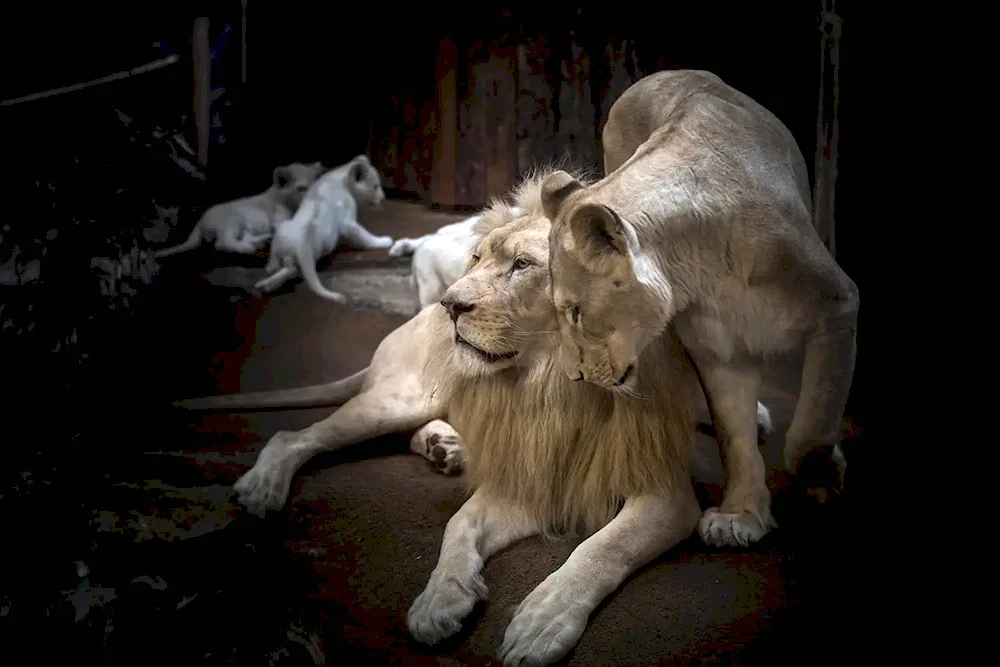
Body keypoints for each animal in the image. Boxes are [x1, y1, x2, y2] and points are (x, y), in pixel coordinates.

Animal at [176, 170, 716, 664]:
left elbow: (602, 548)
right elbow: (460, 523)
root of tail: (411, 320)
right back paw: (266, 486)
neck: (552, 385)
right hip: (401, 399)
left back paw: (445, 448)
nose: (450, 304)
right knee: (293, 436)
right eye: (476, 258)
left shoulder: (665, 494)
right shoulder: (527, 475)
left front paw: (542, 620)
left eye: (522, 265)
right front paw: (439, 600)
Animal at [540, 69, 860, 548]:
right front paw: (740, 515)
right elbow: (735, 437)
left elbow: (811, 424)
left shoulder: (836, 306)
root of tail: (666, 72)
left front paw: (823, 475)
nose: (574, 376)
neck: (702, 263)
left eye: (576, 312)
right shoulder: (718, 350)